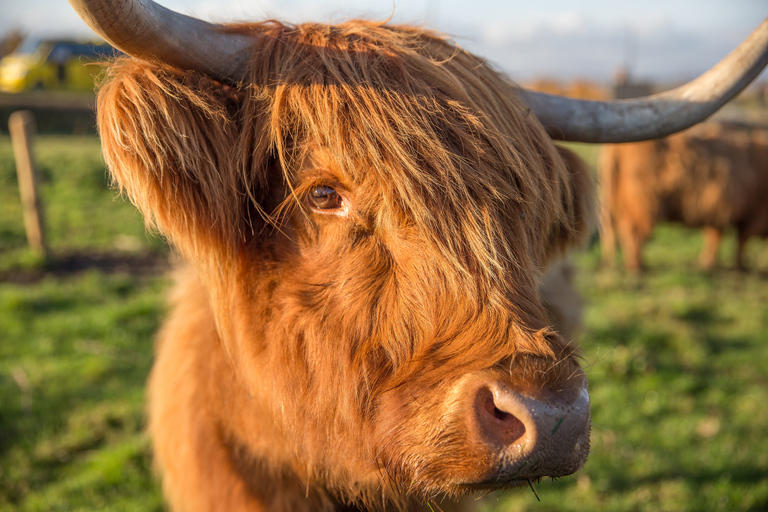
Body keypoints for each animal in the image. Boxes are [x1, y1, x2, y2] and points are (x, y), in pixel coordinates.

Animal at [600, 123, 768, 272]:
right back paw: (637, 267)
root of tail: (617, 148)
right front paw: (739, 266)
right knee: (634, 234)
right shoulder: (747, 214)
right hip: (644, 208)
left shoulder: (719, 212)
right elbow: (739, 240)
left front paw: (708, 262)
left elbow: (716, 237)